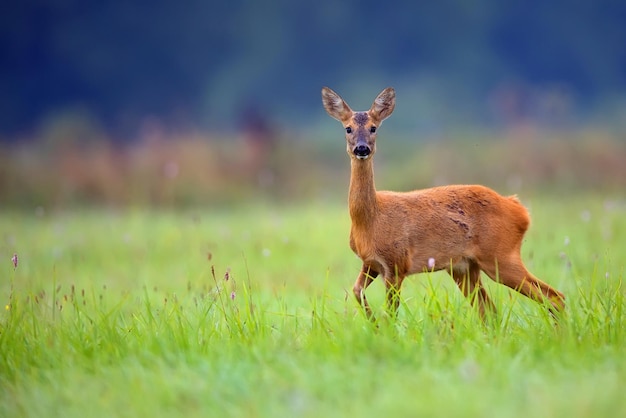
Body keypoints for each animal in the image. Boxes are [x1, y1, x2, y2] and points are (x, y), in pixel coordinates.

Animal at [320, 86, 564, 322]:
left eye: (373, 128)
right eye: (348, 128)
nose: (362, 148)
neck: (370, 220)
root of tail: (519, 209)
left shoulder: (397, 264)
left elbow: (390, 313)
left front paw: (383, 328)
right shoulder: (370, 263)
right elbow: (356, 290)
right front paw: (372, 323)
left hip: (500, 256)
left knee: (554, 296)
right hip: (464, 268)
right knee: (490, 311)